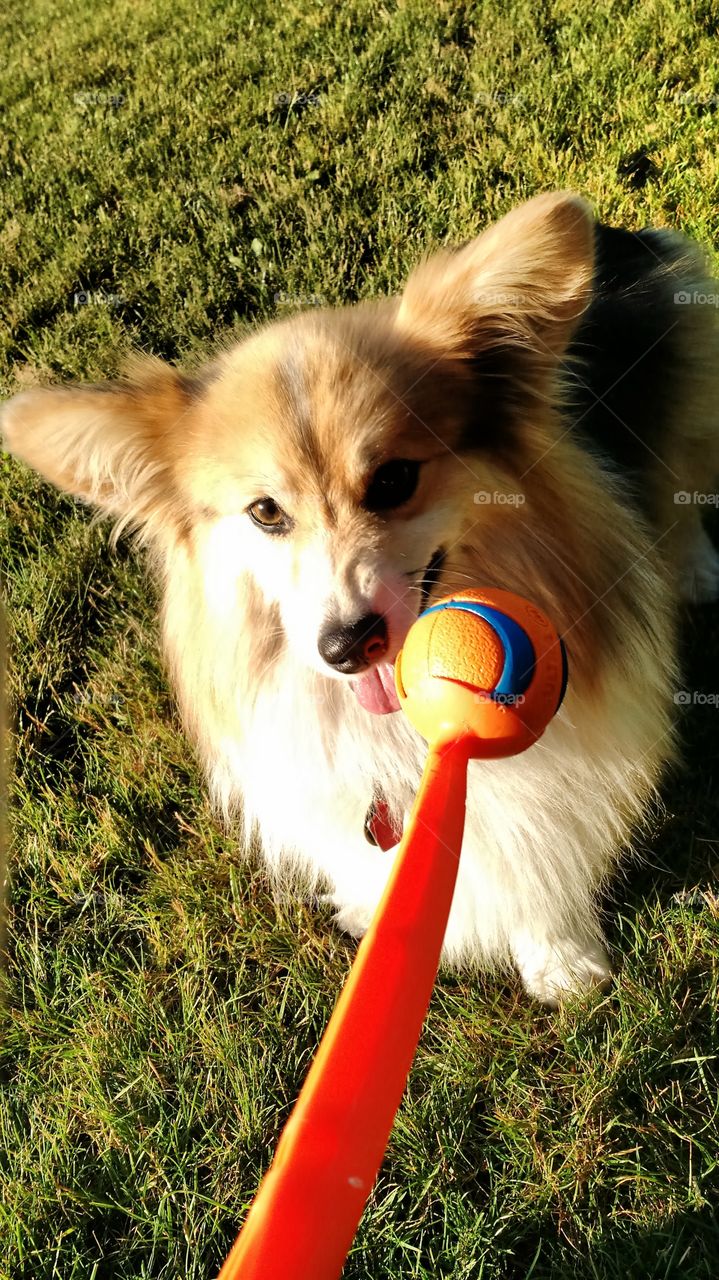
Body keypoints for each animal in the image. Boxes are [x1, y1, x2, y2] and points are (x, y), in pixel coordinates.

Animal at [2, 192, 711, 1008]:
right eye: (265, 513)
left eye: (394, 480)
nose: (347, 647)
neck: (404, 729)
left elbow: (541, 862)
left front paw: (561, 963)